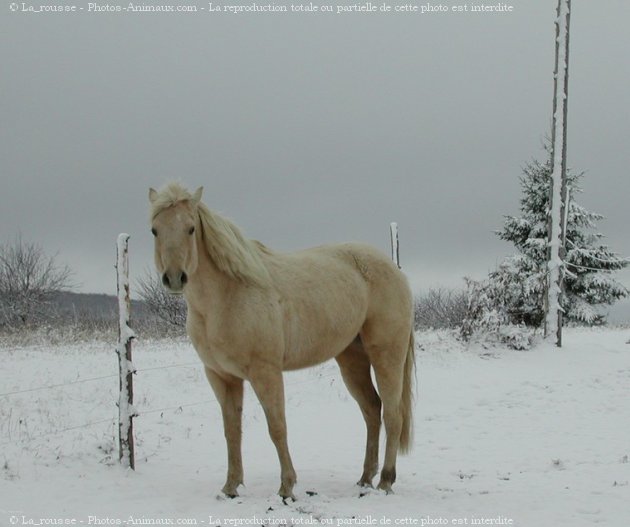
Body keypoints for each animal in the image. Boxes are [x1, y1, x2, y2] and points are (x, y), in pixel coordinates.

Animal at [148, 184, 414, 502]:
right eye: (154, 230)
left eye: (190, 228)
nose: (175, 278)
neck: (227, 297)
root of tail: (394, 271)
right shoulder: (221, 377)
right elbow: (231, 431)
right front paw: (230, 487)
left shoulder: (266, 373)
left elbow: (277, 427)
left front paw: (287, 487)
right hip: (352, 360)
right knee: (372, 410)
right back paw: (364, 479)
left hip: (387, 355)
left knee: (393, 414)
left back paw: (385, 481)